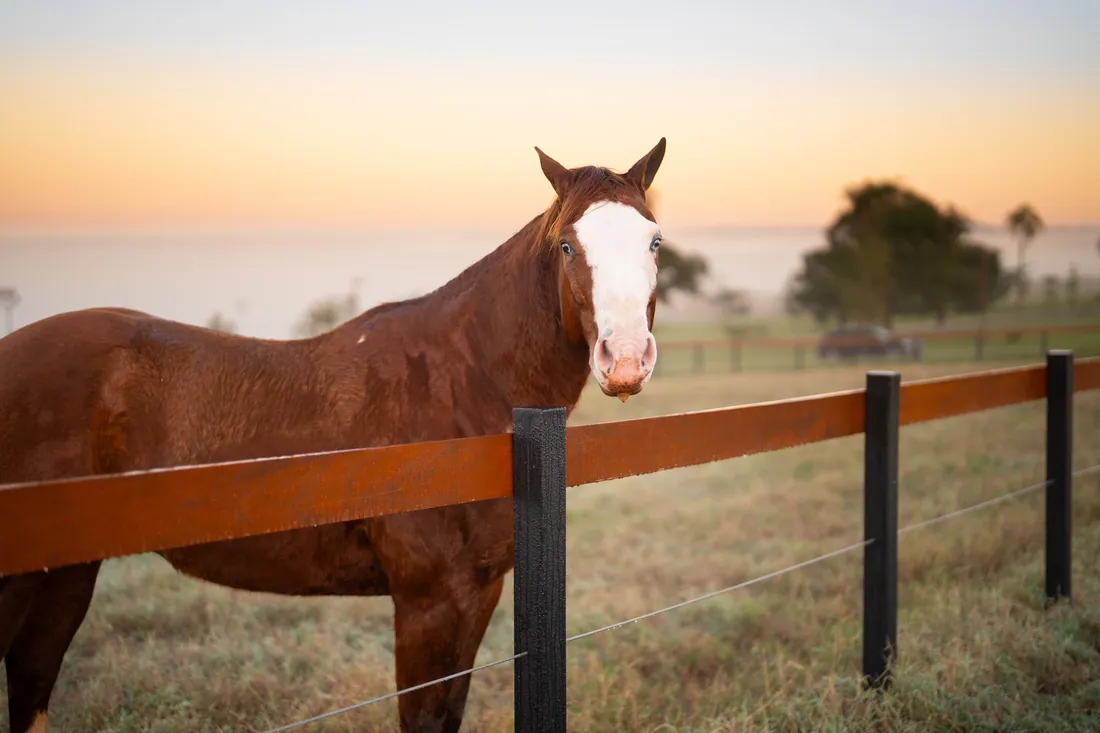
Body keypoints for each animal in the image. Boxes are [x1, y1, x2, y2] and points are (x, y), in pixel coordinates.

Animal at [0, 138, 668, 733]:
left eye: (654, 240)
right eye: (567, 245)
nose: (624, 360)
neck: (463, 386)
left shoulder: (477, 592)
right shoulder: (427, 600)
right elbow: (424, 718)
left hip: (67, 572)